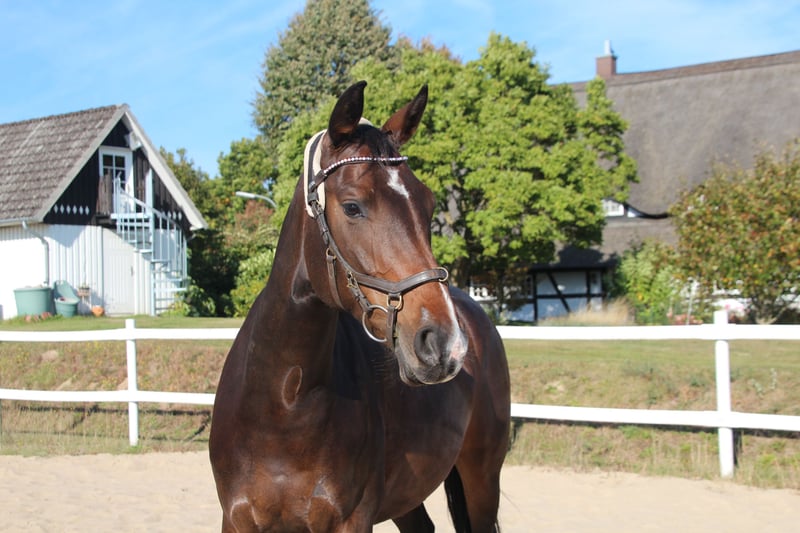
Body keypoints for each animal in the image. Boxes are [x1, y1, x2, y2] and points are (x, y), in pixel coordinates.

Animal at [209, 81, 510, 532]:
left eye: (428, 204)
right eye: (352, 206)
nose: (444, 345)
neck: (283, 401)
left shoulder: (351, 521)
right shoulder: (236, 520)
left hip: (482, 479)